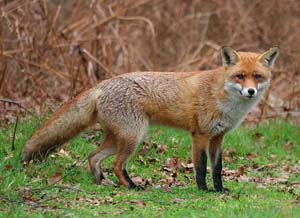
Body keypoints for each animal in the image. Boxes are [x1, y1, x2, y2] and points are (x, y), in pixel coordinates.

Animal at [21, 46, 278, 192]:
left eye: (257, 77)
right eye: (240, 76)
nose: (251, 91)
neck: (225, 99)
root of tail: (102, 84)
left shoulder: (218, 137)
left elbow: (217, 168)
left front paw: (220, 190)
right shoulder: (200, 135)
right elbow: (201, 167)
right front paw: (204, 190)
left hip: (118, 137)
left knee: (93, 157)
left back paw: (101, 182)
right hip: (134, 136)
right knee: (117, 164)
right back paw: (132, 187)